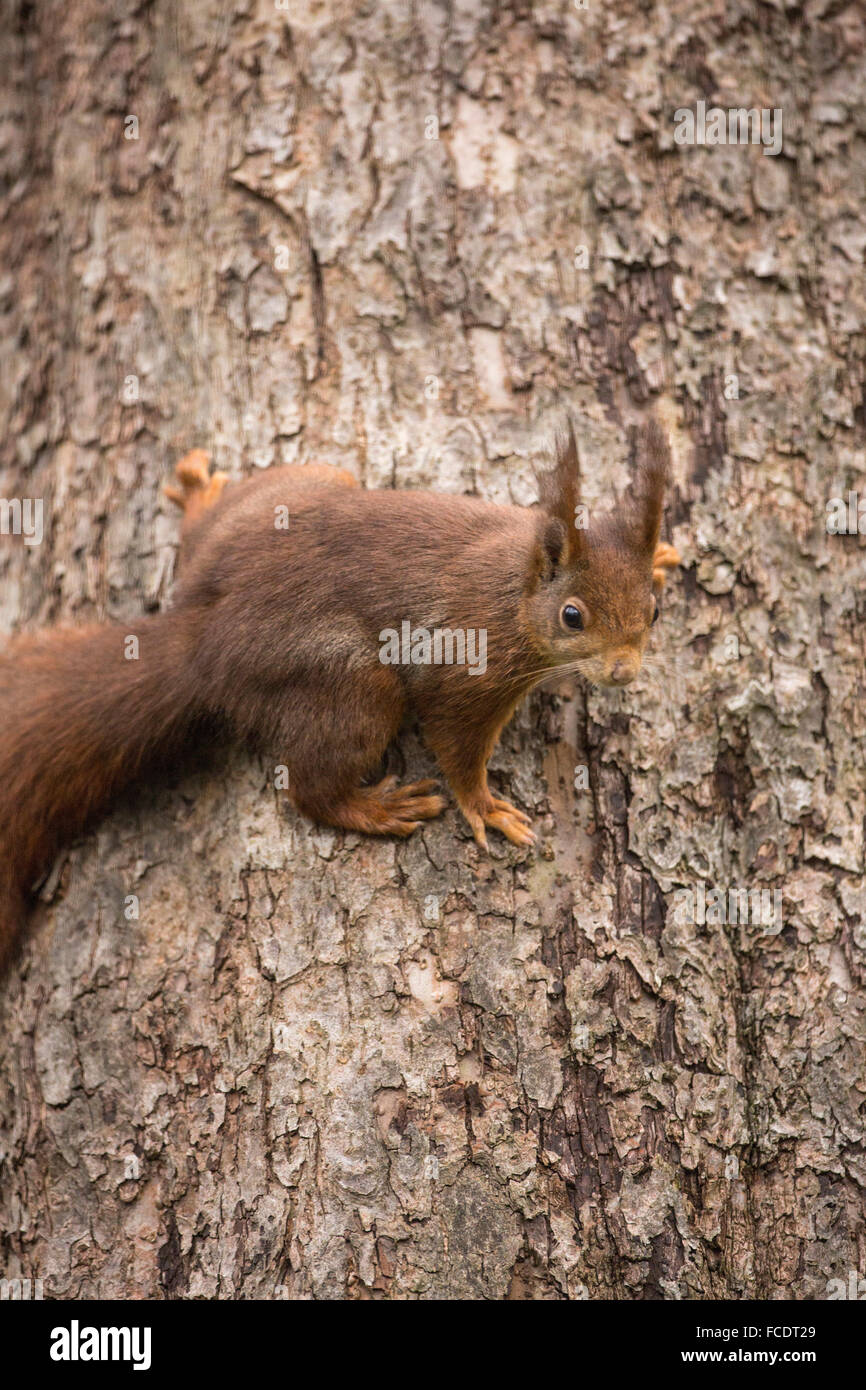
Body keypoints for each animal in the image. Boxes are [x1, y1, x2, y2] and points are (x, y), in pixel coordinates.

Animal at [0, 422, 678, 967]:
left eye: (654, 610)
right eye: (572, 616)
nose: (624, 672)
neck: (517, 584)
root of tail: (200, 637)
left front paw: (661, 553)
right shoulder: (468, 670)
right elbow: (456, 743)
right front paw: (485, 807)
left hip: (298, 492)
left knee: (208, 536)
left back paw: (199, 499)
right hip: (354, 685)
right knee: (309, 790)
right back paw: (376, 809)